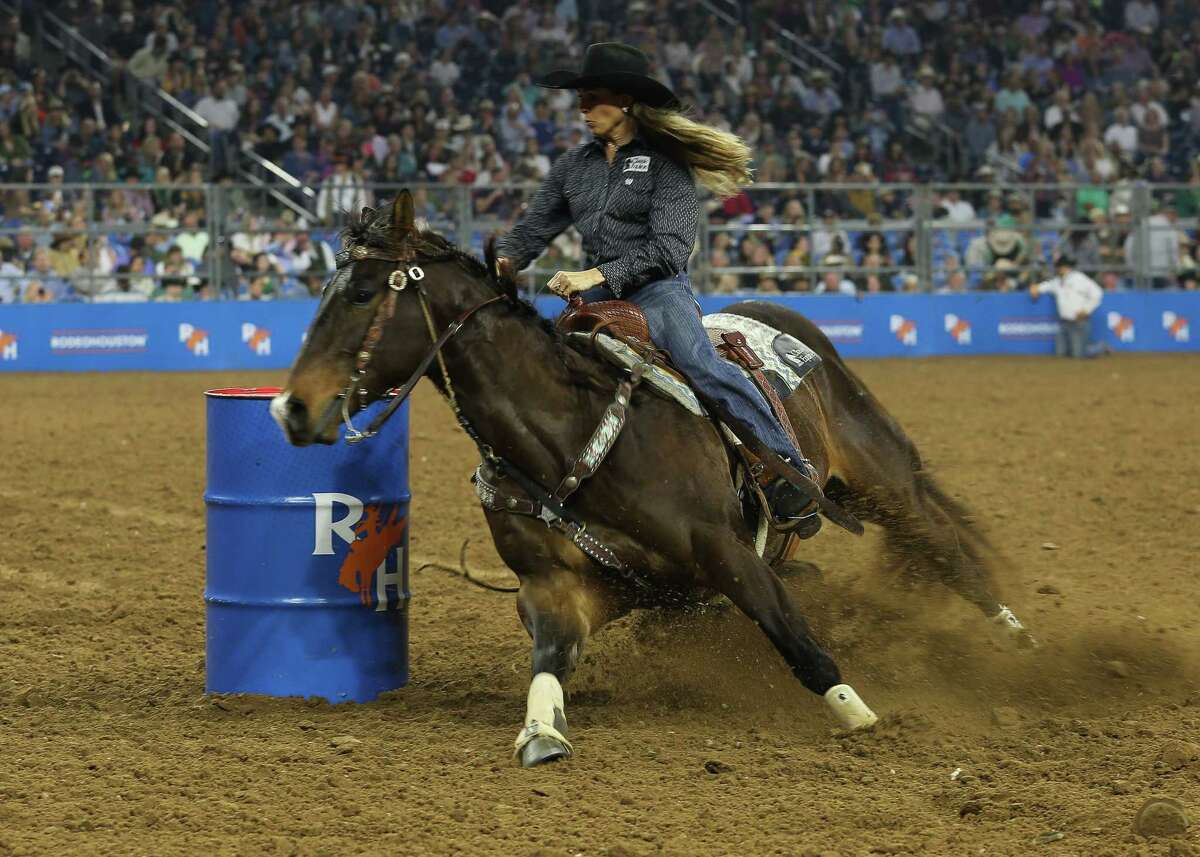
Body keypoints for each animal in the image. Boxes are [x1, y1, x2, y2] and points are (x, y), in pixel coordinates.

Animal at [272, 195, 1032, 768]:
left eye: (362, 293)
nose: (291, 408)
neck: (572, 433)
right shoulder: (562, 588)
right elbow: (549, 661)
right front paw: (541, 732)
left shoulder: (725, 551)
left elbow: (794, 636)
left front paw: (862, 716)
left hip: (883, 477)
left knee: (947, 549)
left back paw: (1017, 639)